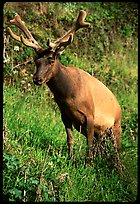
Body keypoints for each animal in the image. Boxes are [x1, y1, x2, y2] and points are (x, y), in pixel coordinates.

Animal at [8, 10, 121, 158]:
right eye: (36, 61)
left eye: (51, 60)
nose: (37, 79)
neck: (68, 95)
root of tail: (119, 107)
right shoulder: (65, 115)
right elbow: (70, 139)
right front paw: (70, 159)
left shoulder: (91, 116)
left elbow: (89, 145)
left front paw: (88, 162)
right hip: (102, 134)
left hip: (116, 126)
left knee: (117, 151)